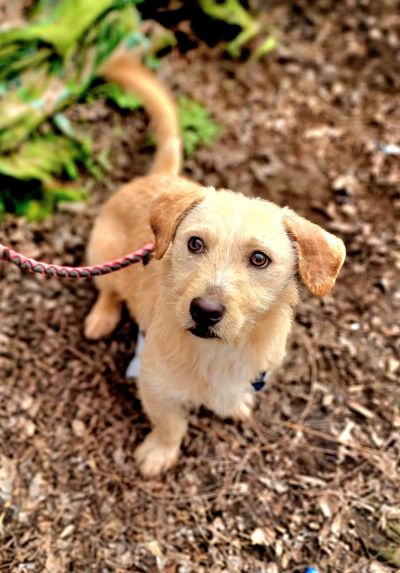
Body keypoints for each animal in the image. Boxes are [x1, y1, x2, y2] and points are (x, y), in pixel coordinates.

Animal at [84, 51, 346, 477]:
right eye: (195, 243)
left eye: (259, 258)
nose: (205, 311)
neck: (221, 352)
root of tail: (159, 177)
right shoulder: (155, 385)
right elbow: (170, 424)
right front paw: (158, 453)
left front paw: (234, 405)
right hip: (101, 254)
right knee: (108, 288)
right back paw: (101, 317)